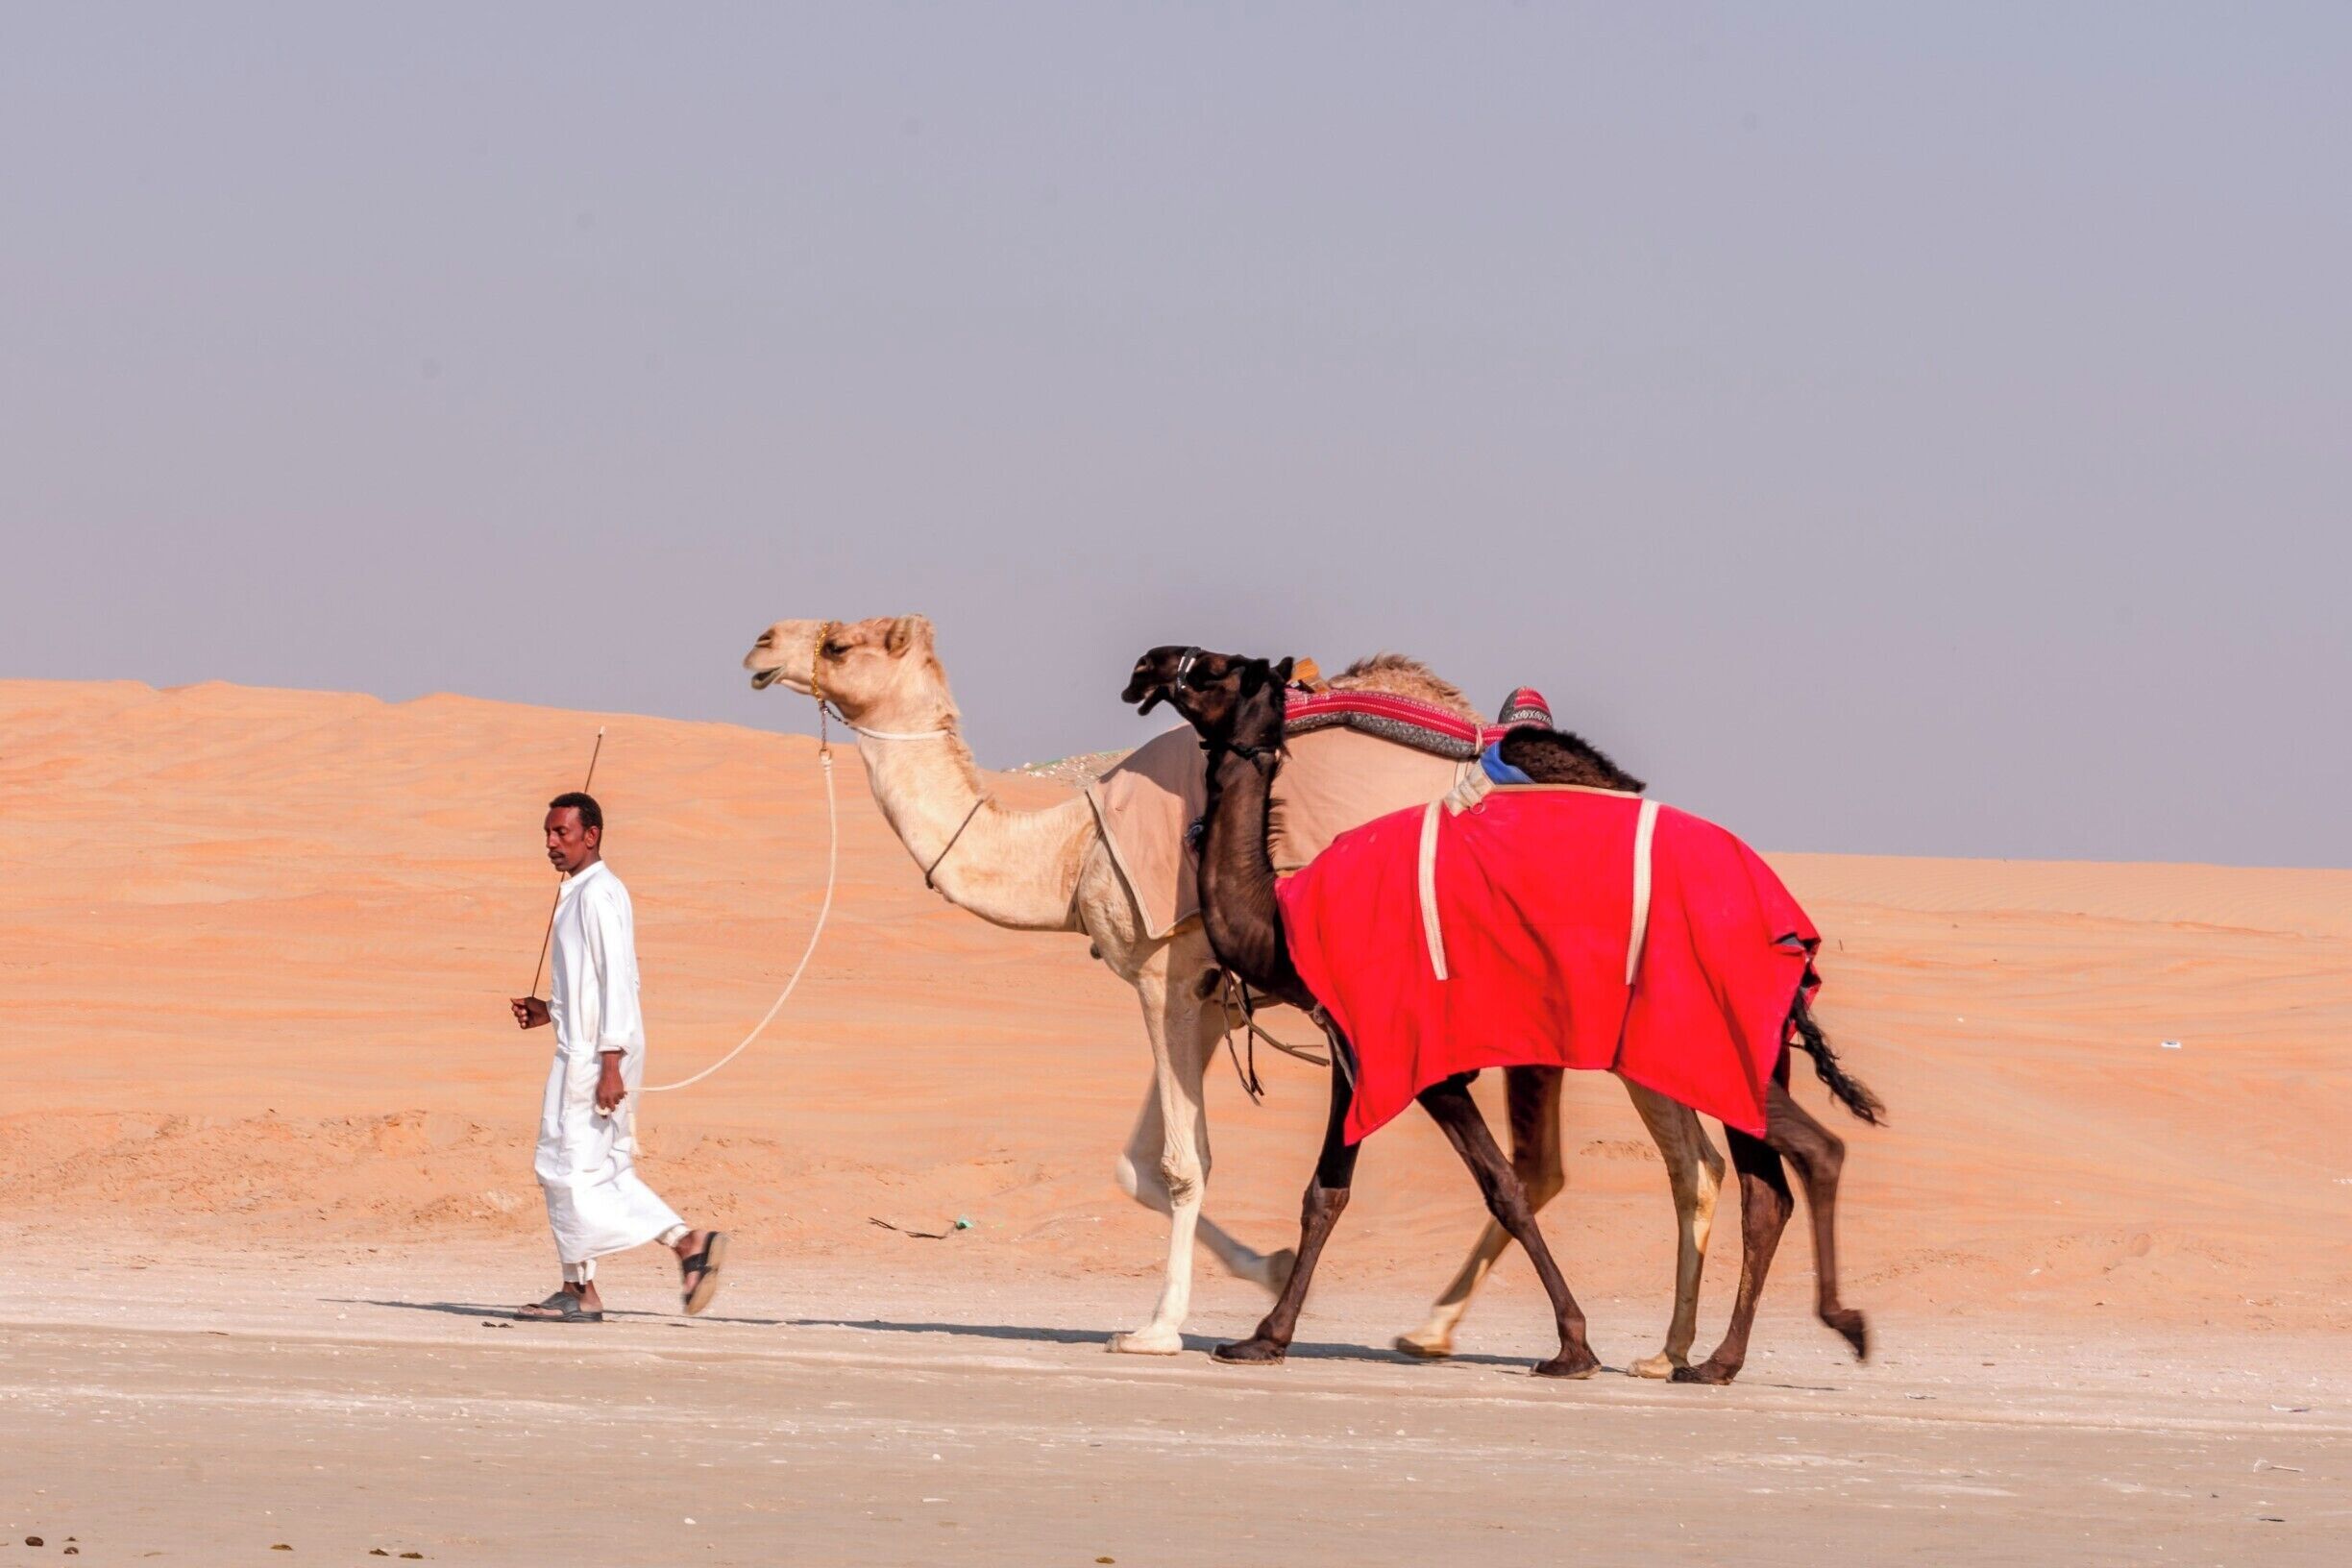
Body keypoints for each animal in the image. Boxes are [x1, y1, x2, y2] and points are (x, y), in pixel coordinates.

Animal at [741, 615, 1720, 1371]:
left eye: (839, 642)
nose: (762, 642)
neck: (1066, 853)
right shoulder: (1212, 995)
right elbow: (1139, 1162)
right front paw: (1264, 1271)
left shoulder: (1164, 975)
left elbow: (1180, 1162)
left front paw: (1156, 1329)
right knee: (1641, 1158)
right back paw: (1618, 1346)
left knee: (1647, 1155)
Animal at [1126, 645, 1884, 1382]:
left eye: (1217, 669)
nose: (1149, 666)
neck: (1283, 925)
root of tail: (1787, 931)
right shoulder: (1355, 1051)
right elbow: (1326, 1194)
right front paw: (1263, 1338)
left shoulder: (1423, 1061)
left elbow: (1504, 1186)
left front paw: (1573, 1347)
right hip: (1745, 1050)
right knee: (1764, 1189)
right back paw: (1714, 1361)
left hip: (1709, 1042)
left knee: (1812, 1152)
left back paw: (1832, 1327)